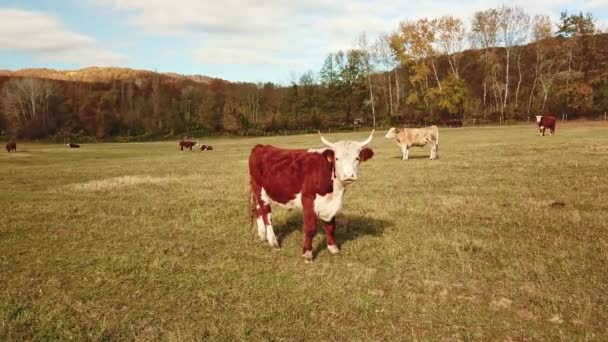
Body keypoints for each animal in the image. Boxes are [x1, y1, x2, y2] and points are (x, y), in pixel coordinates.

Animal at [248, 130, 376, 262]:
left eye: (357, 158)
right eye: (337, 158)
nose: (348, 175)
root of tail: (261, 147)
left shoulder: (330, 204)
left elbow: (330, 226)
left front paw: (333, 247)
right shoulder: (308, 199)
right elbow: (310, 229)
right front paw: (307, 253)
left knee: (258, 211)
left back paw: (262, 236)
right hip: (260, 190)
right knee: (266, 215)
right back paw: (273, 241)